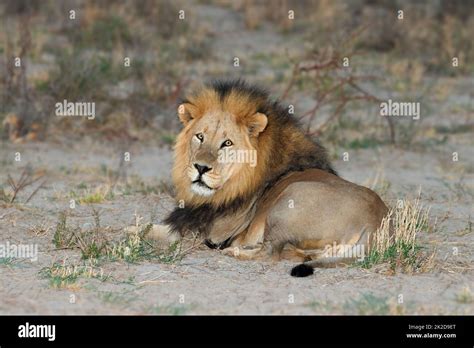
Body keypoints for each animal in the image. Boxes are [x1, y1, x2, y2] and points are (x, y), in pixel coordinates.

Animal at [144, 79, 388, 278]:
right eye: (199, 137)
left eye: (227, 143)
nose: (201, 168)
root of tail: (376, 221)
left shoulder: (209, 231)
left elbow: (148, 229)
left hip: (289, 200)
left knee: (272, 252)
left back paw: (234, 251)